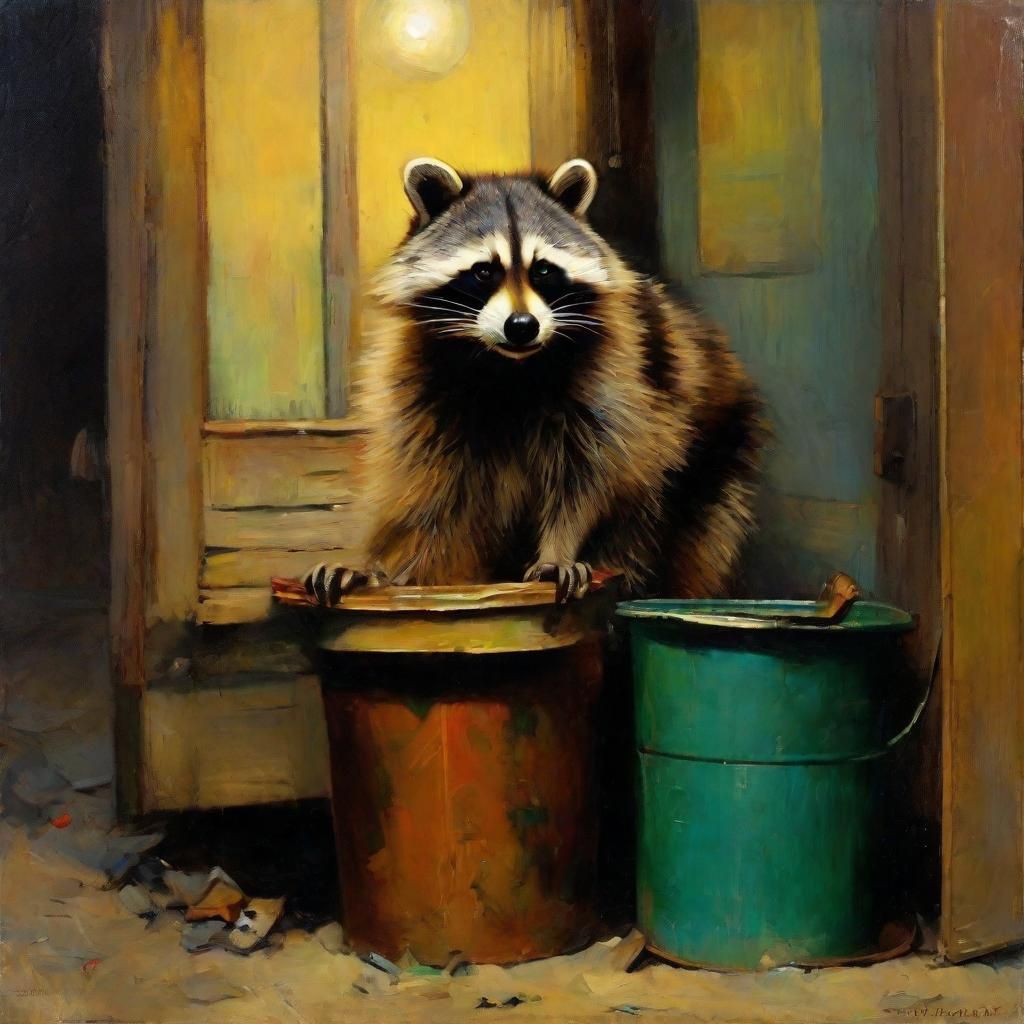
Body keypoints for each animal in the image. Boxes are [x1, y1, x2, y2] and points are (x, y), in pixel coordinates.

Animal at [306, 157, 764, 605]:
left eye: (543, 270)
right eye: (483, 272)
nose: (522, 326)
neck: (508, 367)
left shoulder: (618, 380)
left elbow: (593, 476)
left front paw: (559, 549)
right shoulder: (422, 385)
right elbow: (428, 496)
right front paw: (381, 565)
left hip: (712, 467)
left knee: (660, 528)